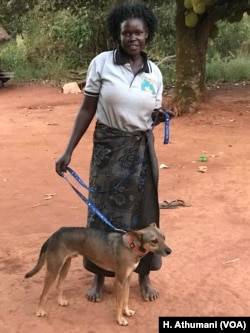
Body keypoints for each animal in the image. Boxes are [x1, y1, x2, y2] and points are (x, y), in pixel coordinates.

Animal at [24, 222, 171, 326]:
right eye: (154, 241)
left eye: (164, 237)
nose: (170, 251)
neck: (131, 245)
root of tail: (54, 234)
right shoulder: (119, 281)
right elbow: (118, 303)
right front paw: (120, 319)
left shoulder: (127, 278)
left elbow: (125, 298)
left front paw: (127, 311)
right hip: (53, 269)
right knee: (43, 294)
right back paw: (39, 311)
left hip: (65, 265)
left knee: (59, 285)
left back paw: (60, 301)